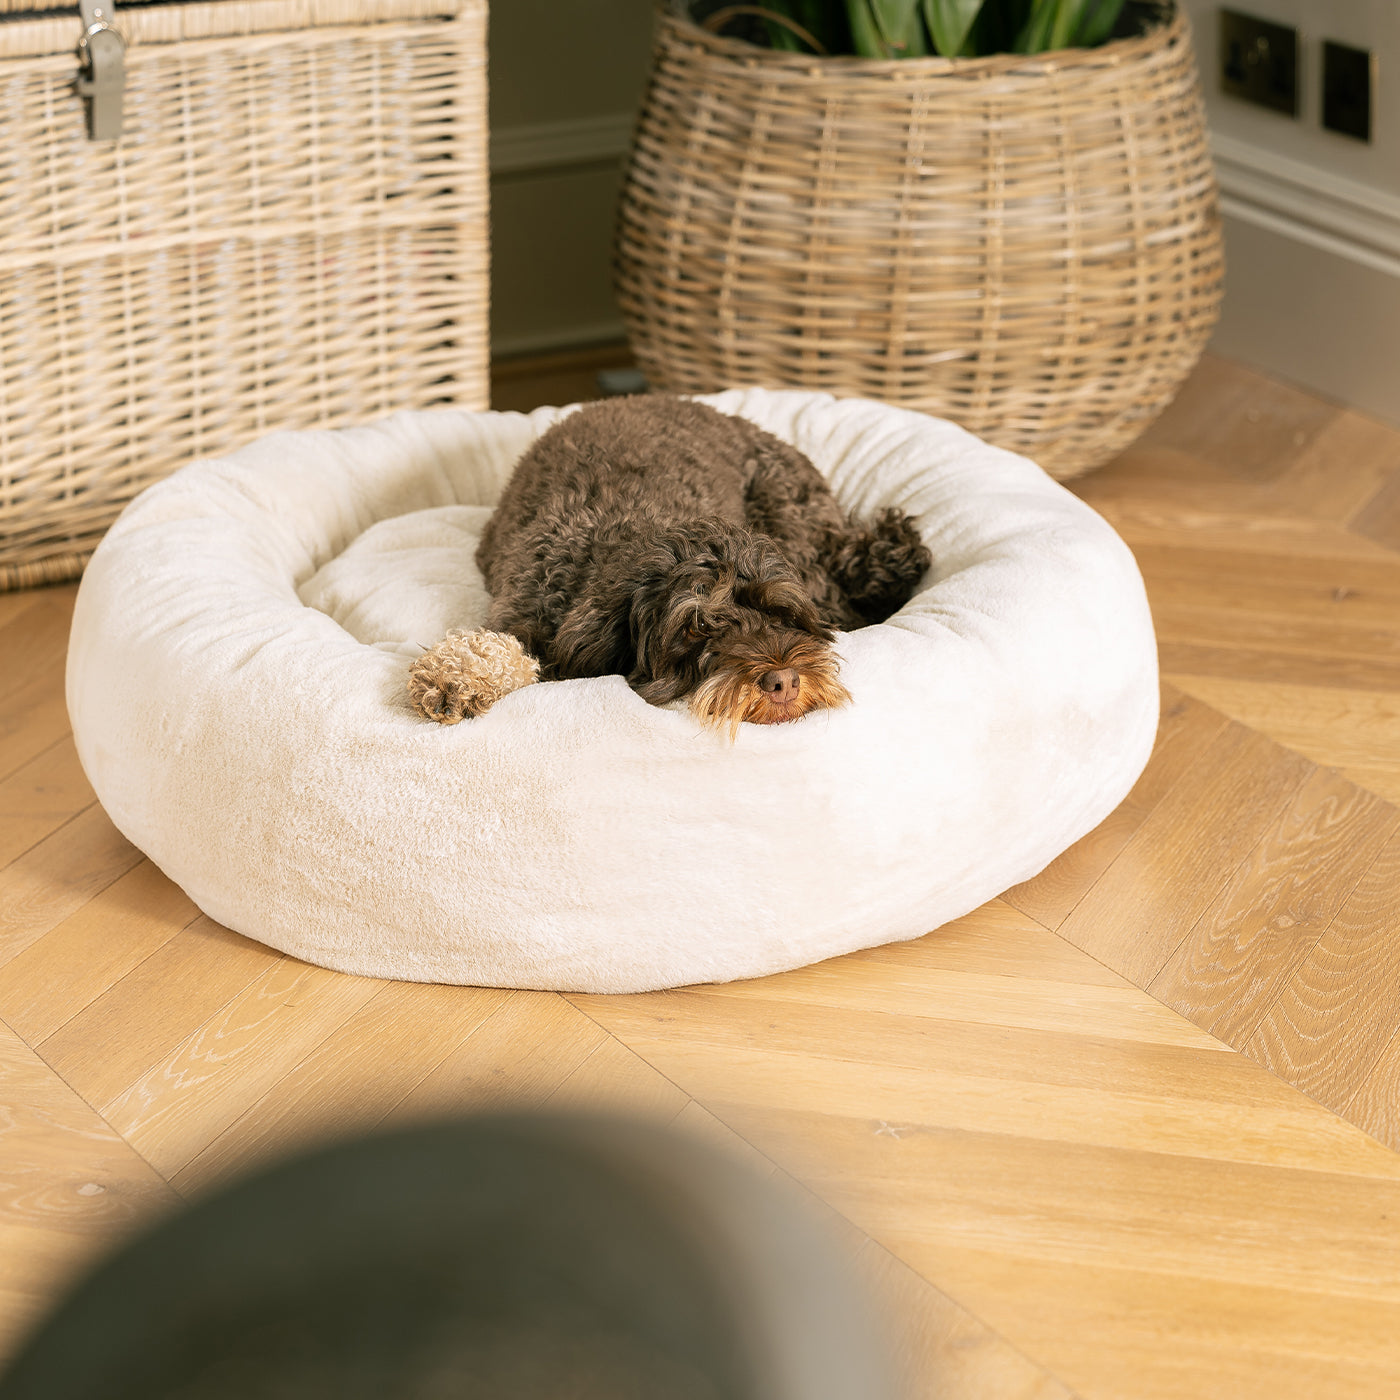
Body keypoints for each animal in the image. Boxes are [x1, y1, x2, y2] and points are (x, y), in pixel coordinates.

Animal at [406, 394, 929, 733]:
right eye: (694, 630)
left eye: (780, 612)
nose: (784, 682)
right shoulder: (525, 610)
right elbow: (494, 645)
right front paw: (455, 677)